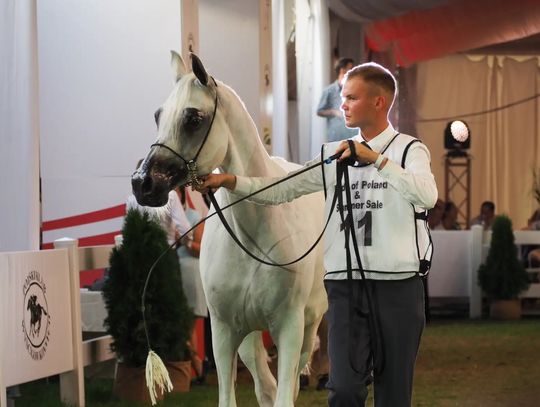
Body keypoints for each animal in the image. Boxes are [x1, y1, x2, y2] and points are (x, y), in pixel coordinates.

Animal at [131, 52, 326, 406]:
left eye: (194, 118)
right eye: (157, 116)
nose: (143, 183)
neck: (251, 235)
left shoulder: (289, 328)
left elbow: (285, 395)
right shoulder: (223, 332)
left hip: (309, 324)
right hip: (249, 337)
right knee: (264, 385)